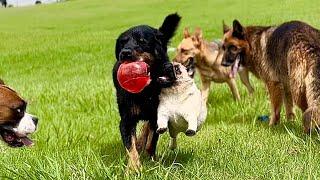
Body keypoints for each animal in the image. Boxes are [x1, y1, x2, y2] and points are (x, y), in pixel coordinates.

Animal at [113, 13, 181, 171]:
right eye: (123, 43)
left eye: (142, 41)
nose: (125, 53)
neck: (146, 90)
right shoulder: (126, 120)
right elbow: (130, 147)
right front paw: (133, 168)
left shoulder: (158, 117)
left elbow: (151, 142)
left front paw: (152, 160)